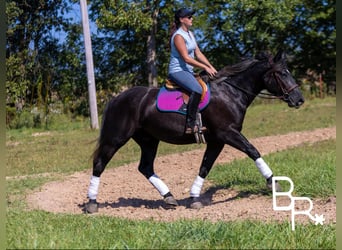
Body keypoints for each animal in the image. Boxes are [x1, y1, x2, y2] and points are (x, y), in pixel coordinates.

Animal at [85, 49, 304, 212]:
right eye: (282, 73)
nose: (299, 99)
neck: (231, 92)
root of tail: (117, 98)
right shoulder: (227, 133)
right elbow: (253, 150)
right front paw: (273, 182)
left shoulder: (217, 140)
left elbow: (205, 166)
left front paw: (194, 197)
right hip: (116, 138)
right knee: (100, 163)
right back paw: (92, 203)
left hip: (149, 140)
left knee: (145, 167)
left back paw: (169, 197)